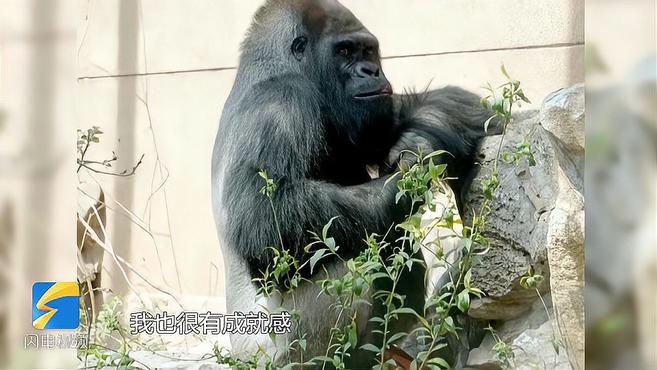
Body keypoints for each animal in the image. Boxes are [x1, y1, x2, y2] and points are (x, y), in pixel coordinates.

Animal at [210, 0, 492, 366]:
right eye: (344, 51)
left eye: (367, 50)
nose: (370, 71)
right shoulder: (279, 103)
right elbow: (266, 222)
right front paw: (404, 182)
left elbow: (435, 102)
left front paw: (419, 142)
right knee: (346, 255)